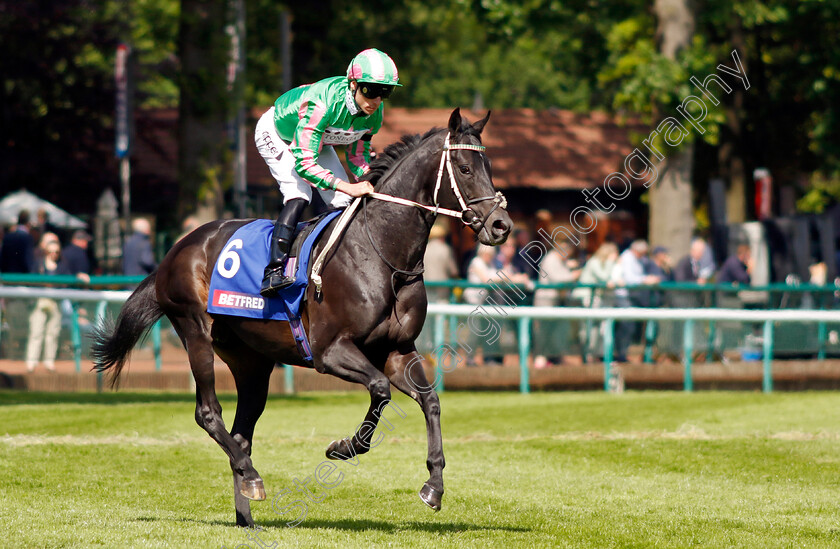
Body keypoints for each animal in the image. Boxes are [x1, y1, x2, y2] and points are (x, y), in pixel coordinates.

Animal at [90, 108, 512, 528]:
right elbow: (379, 390)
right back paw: (253, 477)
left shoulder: (397, 351)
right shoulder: (330, 351)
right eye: (465, 168)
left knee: (241, 432)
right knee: (208, 413)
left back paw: (246, 510)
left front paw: (433, 486)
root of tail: (176, 251)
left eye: (489, 166)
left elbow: (430, 400)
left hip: (252, 361)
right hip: (196, 331)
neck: (382, 254)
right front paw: (344, 447)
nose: (501, 226)